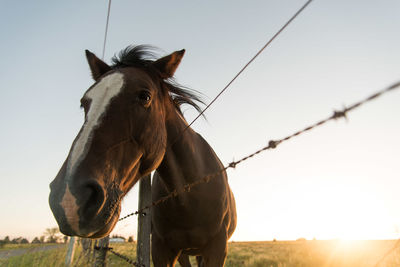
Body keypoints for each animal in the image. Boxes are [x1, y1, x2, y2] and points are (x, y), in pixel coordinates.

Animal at [50, 45, 238, 266]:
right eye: (84, 103)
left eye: (145, 96)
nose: (69, 200)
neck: (190, 195)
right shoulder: (161, 249)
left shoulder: (217, 249)